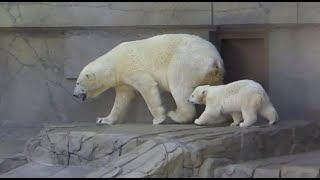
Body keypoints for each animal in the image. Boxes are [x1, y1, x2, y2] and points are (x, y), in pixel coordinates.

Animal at [73, 33, 225, 125]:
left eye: (78, 82)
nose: (74, 94)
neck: (114, 63)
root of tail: (214, 59)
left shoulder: (131, 67)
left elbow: (147, 85)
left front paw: (158, 119)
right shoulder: (123, 81)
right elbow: (121, 99)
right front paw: (104, 119)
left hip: (185, 62)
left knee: (179, 86)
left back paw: (176, 115)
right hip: (215, 74)